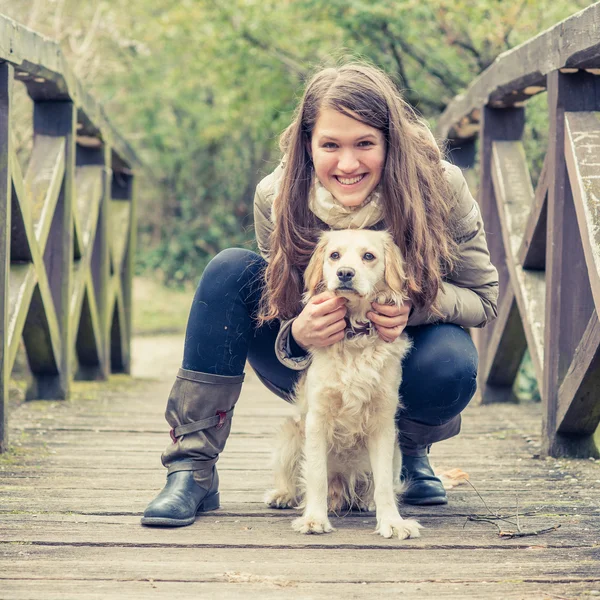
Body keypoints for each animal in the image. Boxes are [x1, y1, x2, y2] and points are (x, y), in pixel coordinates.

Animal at [264, 229, 424, 540]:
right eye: (334, 255)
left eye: (368, 256)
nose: (345, 273)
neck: (355, 335)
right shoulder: (317, 418)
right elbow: (315, 474)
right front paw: (314, 519)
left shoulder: (383, 423)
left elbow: (384, 484)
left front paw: (392, 522)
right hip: (290, 436)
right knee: (294, 479)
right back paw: (283, 494)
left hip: (396, 450)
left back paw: (366, 501)